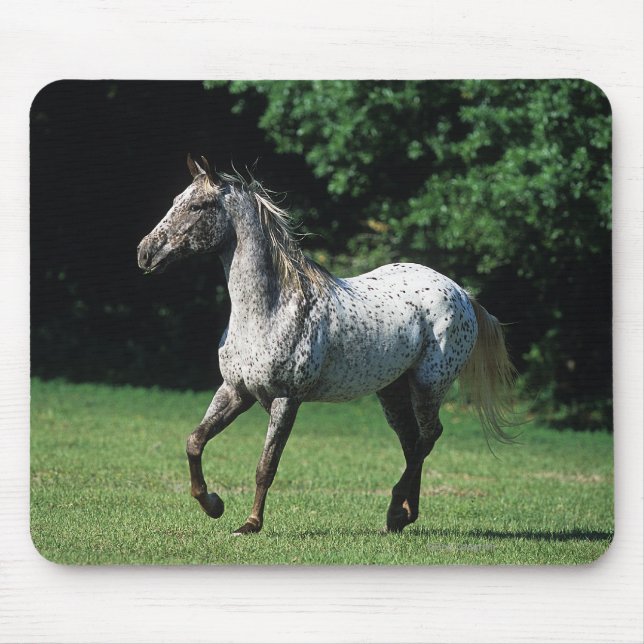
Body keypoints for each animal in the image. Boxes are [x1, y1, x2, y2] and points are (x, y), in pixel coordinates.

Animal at [137, 155, 516, 535]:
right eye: (176, 200)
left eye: (198, 206)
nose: (145, 253)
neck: (269, 309)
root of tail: (461, 292)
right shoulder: (235, 391)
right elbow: (194, 441)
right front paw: (213, 505)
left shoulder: (286, 400)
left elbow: (266, 466)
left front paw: (250, 524)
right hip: (393, 391)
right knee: (412, 442)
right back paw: (404, 516)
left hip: (429, 385)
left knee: (428, 436)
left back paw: (396, 510)